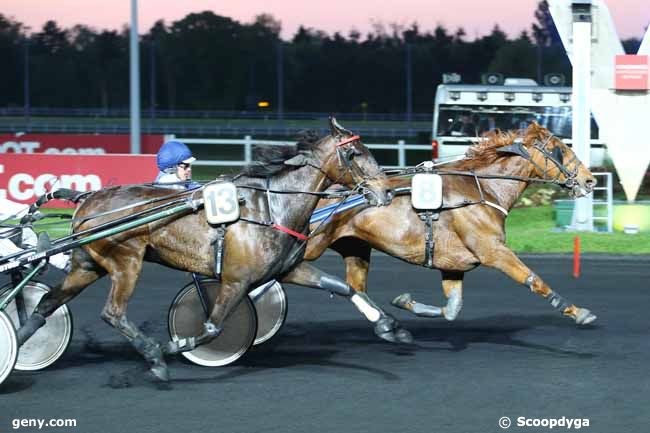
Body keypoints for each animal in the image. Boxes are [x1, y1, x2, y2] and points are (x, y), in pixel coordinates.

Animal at [16, 119, 410, 382]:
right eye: (355, 154)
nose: (387, 192)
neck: (270, 208)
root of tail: (88, 198)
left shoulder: (288, 269)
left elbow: (344, 288)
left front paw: (390, 327)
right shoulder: (235, 281)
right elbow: (211, 327)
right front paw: (169, 349)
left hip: (87, 264)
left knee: (46, 304)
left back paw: (19, 345)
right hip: (126, 260)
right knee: (112, 312)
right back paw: (153, 357)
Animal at [304, 121, 596, 324]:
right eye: (560, 150)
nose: (589, 180)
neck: (483, 190)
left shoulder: (453, 265)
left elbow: (452, 309)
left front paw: (405, 302)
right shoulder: (493, 251)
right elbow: (534, 280)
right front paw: (577, 311)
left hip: (356, 248)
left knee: (356, 289)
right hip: (311, 245)